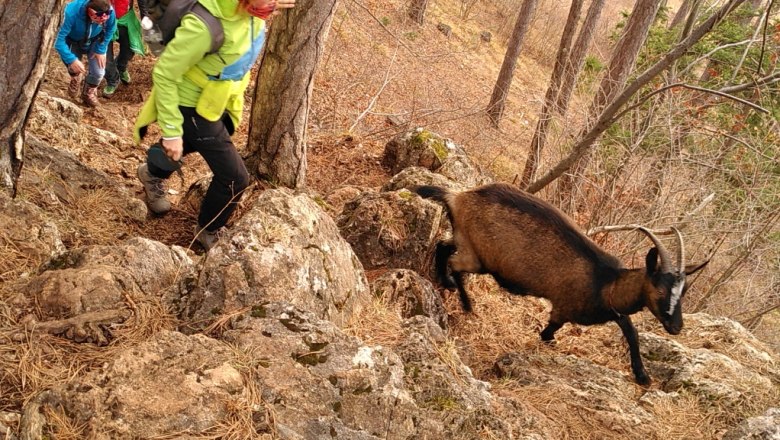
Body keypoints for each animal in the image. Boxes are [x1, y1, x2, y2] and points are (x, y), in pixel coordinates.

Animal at [418, 183, 708, 384]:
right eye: (660, 289)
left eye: (685, 290)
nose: (676, 327)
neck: (606, 283)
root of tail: (459, 197)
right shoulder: (564, 309)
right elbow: (548, 333)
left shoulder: (612, 311)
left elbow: (631, 330)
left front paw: (643, 376)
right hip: (477, 256)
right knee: (453, 260)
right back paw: (465, 303)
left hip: (467, 243)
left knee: (444, 246)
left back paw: (451, 286)